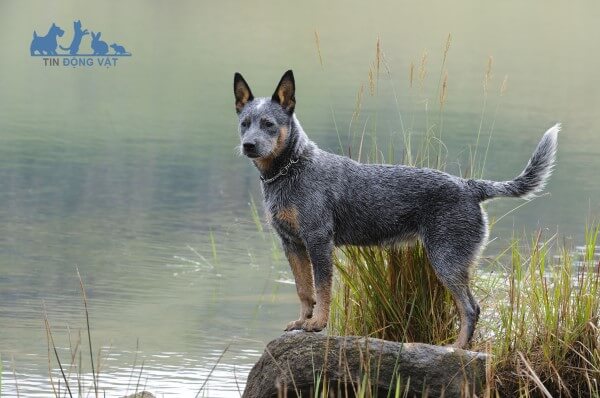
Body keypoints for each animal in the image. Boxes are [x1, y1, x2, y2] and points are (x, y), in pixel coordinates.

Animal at [233, 70, 556, 346]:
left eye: (269, 124)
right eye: (244, 123)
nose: (248, 145)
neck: (291, 170)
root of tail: (469, 186)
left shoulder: (318, 241)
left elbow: (322, 290)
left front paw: (317, 324)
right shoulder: (292, 244)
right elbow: (304, 290)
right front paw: (302, 322)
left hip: (446, 261)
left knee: (470, 308)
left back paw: (457, 349)